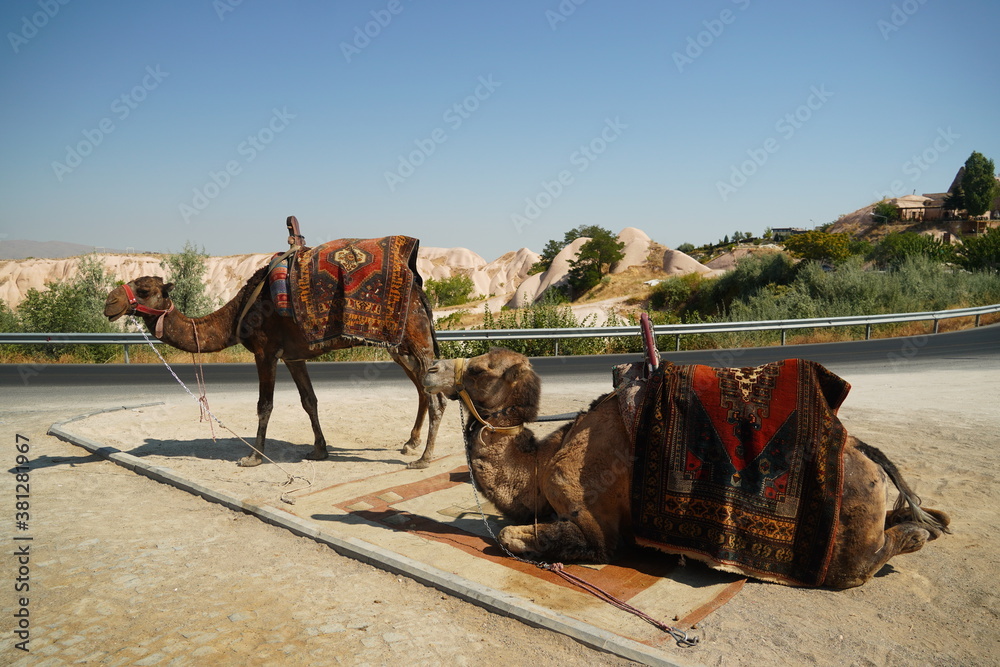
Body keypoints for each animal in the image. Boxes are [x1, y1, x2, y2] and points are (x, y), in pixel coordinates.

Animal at [104, 264, 446, 468]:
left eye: (144, 290)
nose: (110, 302)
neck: (237, 314)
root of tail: (420, 292)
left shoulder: (265, 351)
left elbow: (264, 405)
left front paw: (253, 457)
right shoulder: (293, 356)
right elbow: (309, 401)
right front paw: (319, 450)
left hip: (414, 336)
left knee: (436, 397)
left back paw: (424, 458)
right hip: (400, 347)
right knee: (422, 389)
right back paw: (411, 443)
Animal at [423, 348, 951, 589]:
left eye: (480, 369)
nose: (430, 367)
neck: (539, 462)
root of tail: (860, 449)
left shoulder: (594, 522)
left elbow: (512, 536)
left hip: (844, 548)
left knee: (864, 562)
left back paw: (916, 535)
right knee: (915, 517)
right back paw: (931, 521)